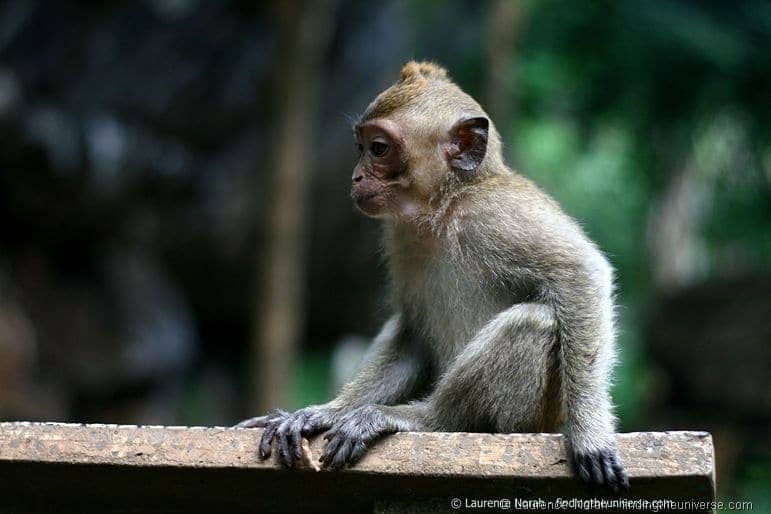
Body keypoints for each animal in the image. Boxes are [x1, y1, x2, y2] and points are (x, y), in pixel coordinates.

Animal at [238, 60, 632, 492]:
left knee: (534, 322)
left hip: (532, 418)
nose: (356, 177)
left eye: (378, 148)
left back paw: (421, 419)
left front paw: (590, 434)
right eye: (361, 147)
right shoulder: (400, 237)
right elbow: (412, 334)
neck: (445, 206)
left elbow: (580, 273)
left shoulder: (497, 214)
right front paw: (326, 411)